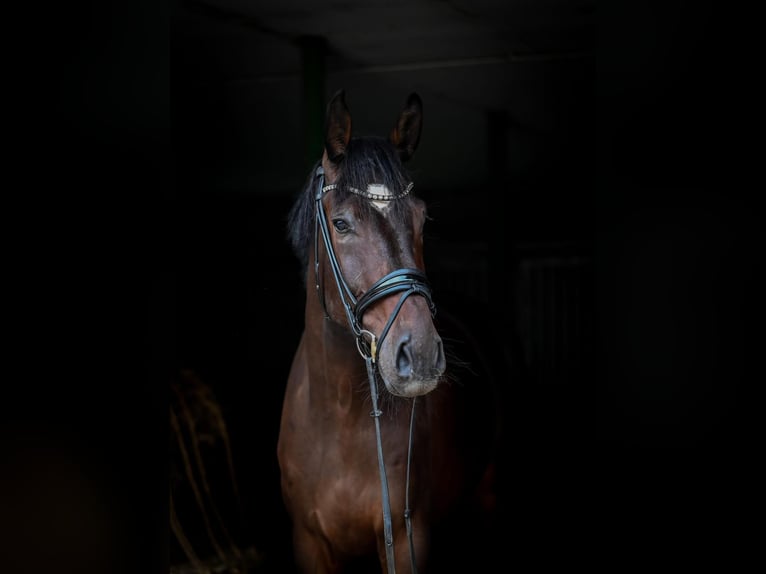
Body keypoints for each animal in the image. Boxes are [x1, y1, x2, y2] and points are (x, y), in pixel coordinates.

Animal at [276, 90, 504, 574]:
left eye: (422, 219)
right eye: (341, 223)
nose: (420, 355)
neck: (339, 414)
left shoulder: (406, 537)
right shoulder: (309, 543)